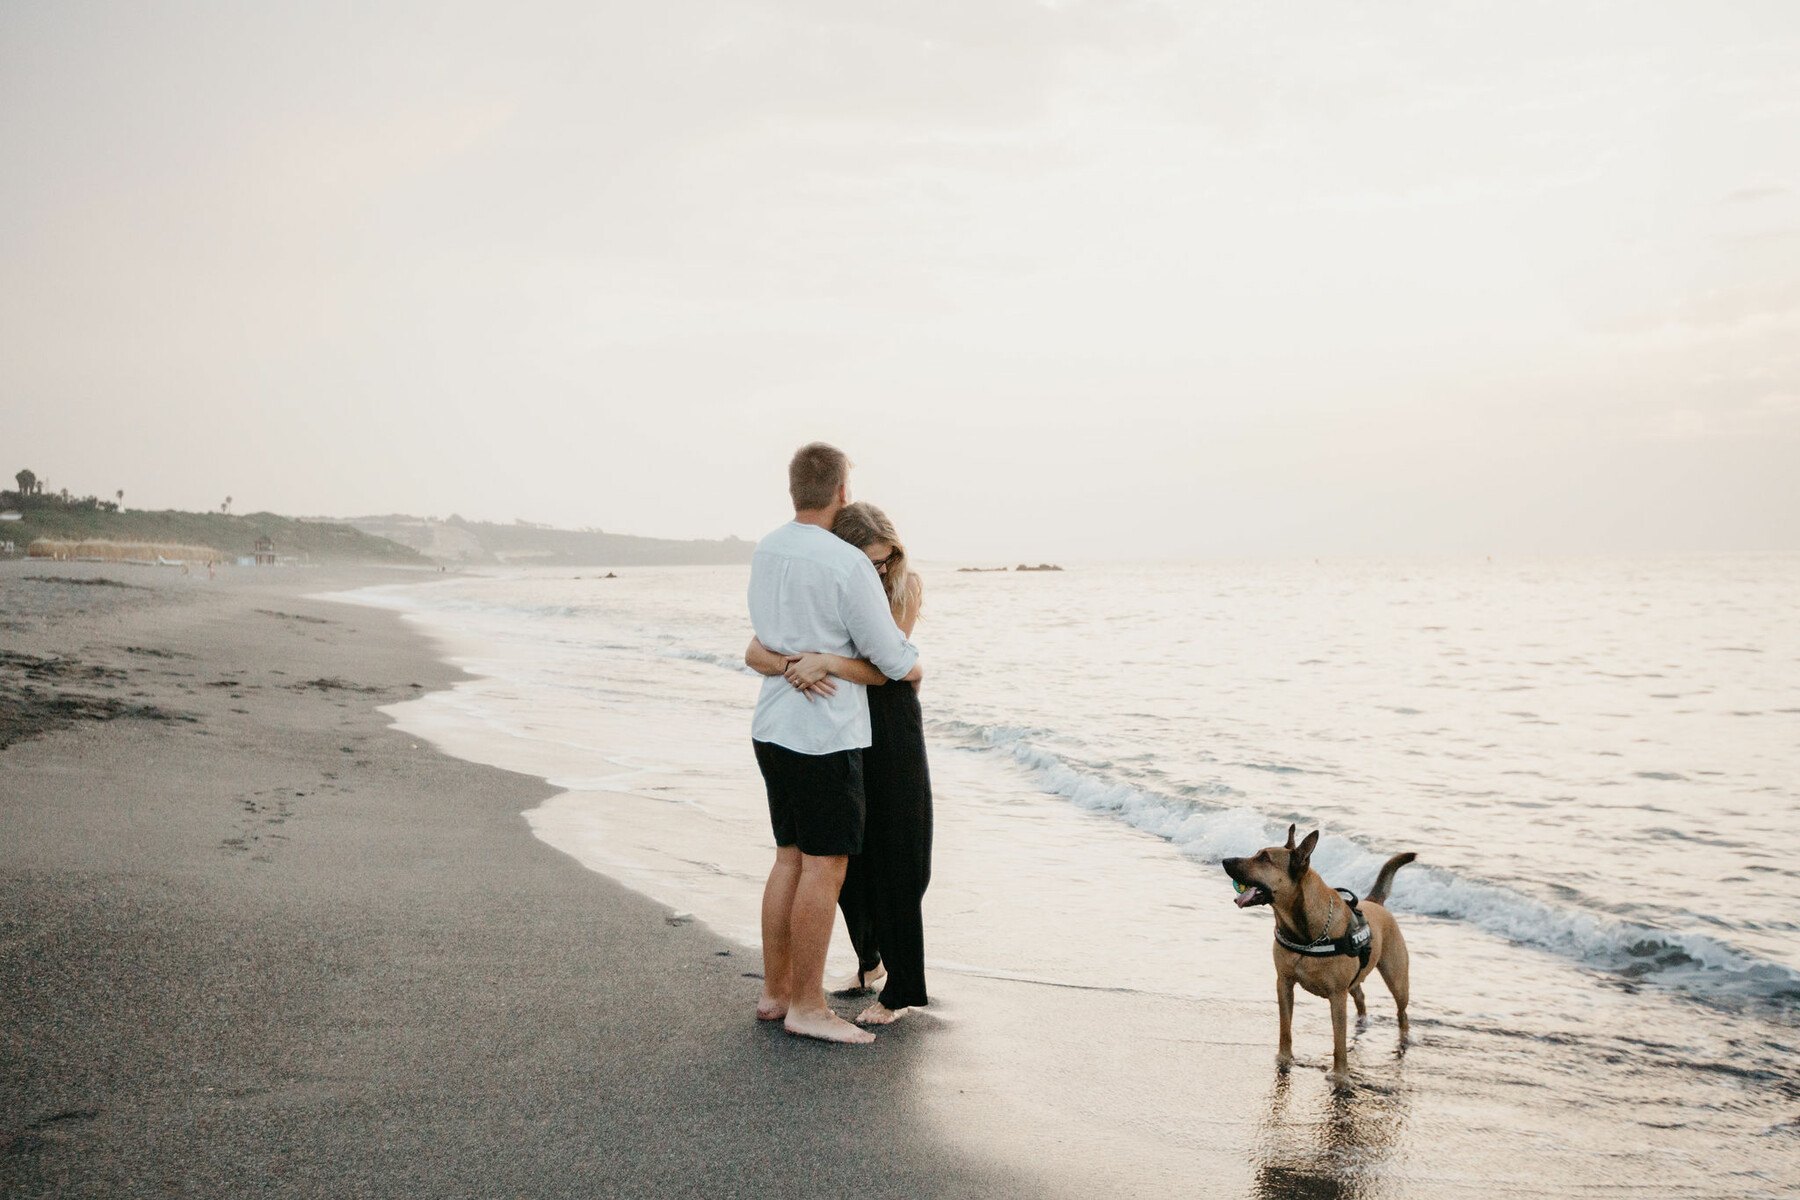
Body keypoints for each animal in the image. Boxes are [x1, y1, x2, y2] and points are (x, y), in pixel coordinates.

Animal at [1224, 831, 1418, 1086]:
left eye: (1264, 858)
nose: (1225, 860)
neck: (1304, 934)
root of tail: (1375, 902)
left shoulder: (1337, 995)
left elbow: (1339, 1042)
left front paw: (1340, 1076)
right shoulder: (1284, 984)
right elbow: (1285, 1029)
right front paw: (1284, 1059)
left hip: (1396, 979)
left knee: (1402, 1013)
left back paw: (1403, 1039)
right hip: (1355, 982)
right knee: (1360, 996)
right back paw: (1362, 1023)